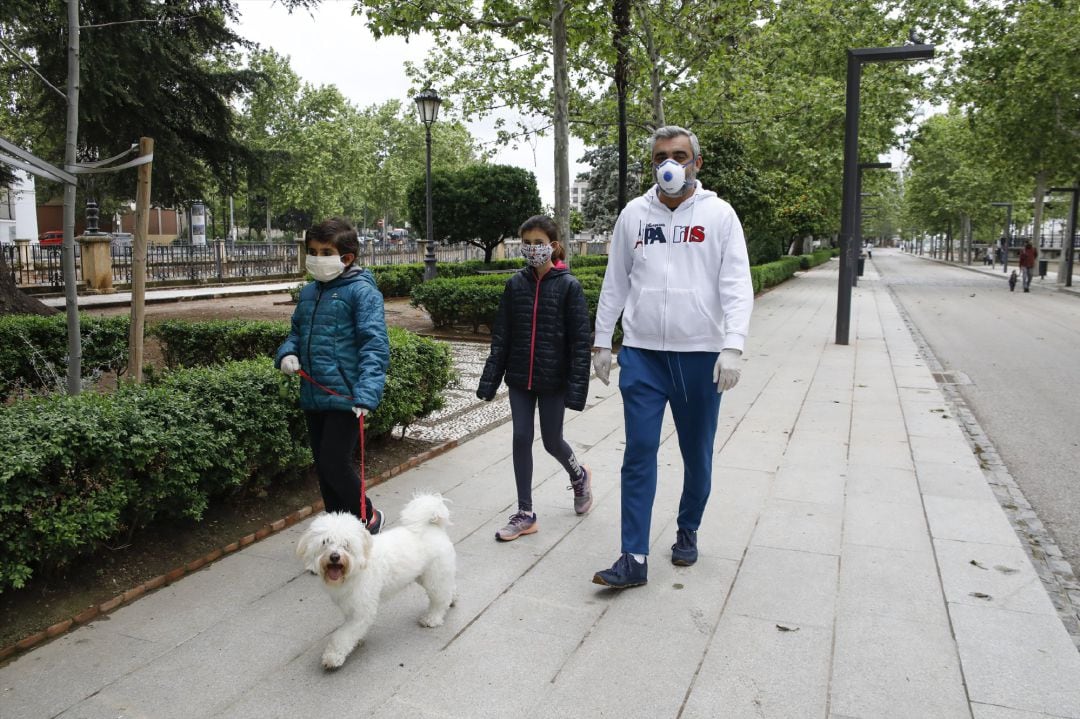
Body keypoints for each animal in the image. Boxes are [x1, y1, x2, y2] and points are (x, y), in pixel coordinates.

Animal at [298, 492, 457, 665]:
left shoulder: (362, 610)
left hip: (434, 577)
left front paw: (333, 656)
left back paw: (432, 618)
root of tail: (433, 527)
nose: (335, 557)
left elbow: (344, 634)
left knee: (440, 599)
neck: (356, 568)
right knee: (448, 588)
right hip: (424, 575)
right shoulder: (349, 605)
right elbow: (350, 630)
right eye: (325, 542)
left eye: (346, 544)